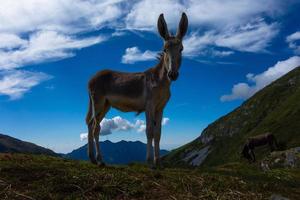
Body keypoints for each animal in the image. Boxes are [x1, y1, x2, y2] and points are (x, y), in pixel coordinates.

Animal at [85, 11, 188, 166]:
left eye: (181, 49)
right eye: (164, 49)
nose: (173, 74)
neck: (161, 82)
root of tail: (92, 77)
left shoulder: (160, 108)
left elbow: (158, 133)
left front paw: (159, 162)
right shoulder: (149, 105)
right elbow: (149, 131)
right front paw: (150, 162)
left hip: (105, 105)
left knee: (93, 126)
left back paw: (92, 158)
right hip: (98, 102)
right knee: (95, 126)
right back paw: (99, 160)